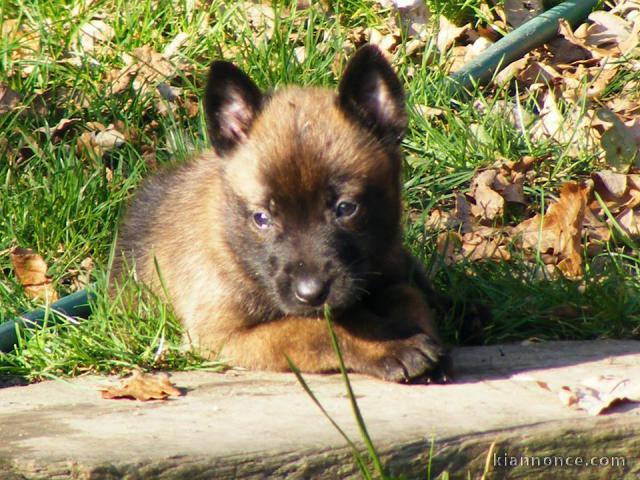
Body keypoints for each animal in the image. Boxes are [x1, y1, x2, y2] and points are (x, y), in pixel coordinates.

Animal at [111, 45, 450, 382]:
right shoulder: (225, 336)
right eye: (261, 218)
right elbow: (316, 328)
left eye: (345, 208)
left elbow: (408, 297)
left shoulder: (393, 273)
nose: (311, 293)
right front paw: (392, 344)